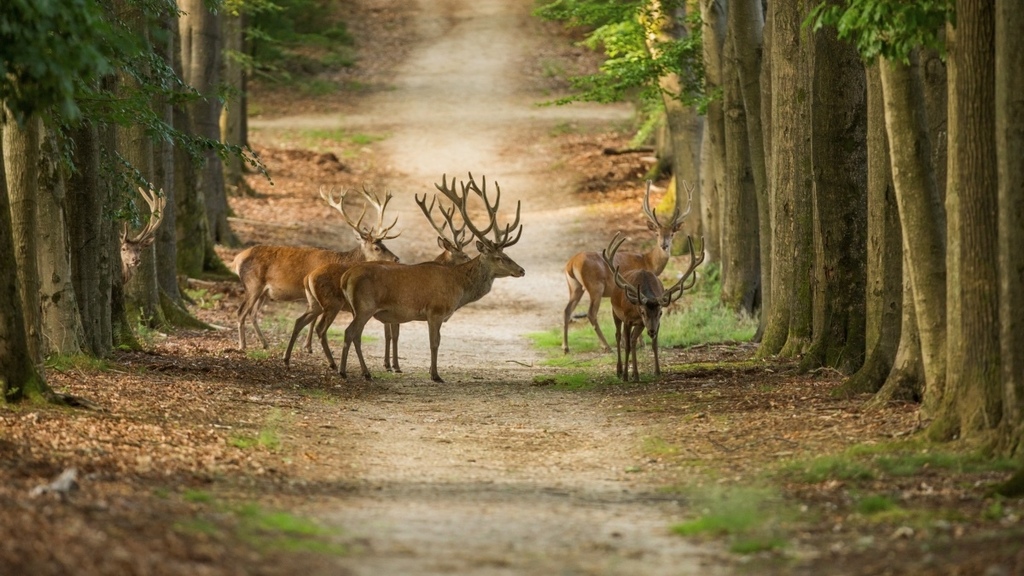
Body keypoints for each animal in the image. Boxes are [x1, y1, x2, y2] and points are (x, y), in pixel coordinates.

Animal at [232, 186, 401, 350]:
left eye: (384, 244)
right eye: (376, 248)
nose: (396, 258)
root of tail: (237, 259)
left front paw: (308, 345)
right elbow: (314, 320)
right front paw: (308, 346)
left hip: (263, 292)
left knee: (253, 313)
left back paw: (264, 343)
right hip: (252, 284)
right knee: (241, 312)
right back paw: (242, 345)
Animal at [283, 191, 473, 372]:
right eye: (464, 255)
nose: (471, 262)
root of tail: (308, 276)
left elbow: (389, 335)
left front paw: (389, 364)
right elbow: (394, 335)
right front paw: (394, 366)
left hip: (315, 303)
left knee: (299, 321)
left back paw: (288, 359)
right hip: (333, 304)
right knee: (321, 328)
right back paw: (332, 364)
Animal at [338, 173, 524, 383]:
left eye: (507, 254)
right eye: (500, 258)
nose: (521, 270)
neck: (459, 288)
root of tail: (345, 277)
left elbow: (437, 341)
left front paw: (431, 371)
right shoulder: (435, 311)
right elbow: (434, 343)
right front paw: (435, 375)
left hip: (358, 309)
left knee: (355, 334)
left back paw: (361, 371)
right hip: (365, 306)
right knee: (350, 332)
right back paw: (347, 371)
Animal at [562, 180, 692, 354]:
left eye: (672, 234)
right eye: (657, 233)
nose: (664, 245)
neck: (648, 262)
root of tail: (570, 264)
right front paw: (640, 342)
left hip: (575, 286)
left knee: (567, 310)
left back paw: (566, 347)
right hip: (595, 286)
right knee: (591, 313)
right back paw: (606, 345)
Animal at [600, 232, 704, 382]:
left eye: (660, 313)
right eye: (643, 311)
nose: (651, 331)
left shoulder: (651, 323)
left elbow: (654, 344)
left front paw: (657, 371)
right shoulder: (627, 319)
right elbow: (626, 345)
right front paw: (625, 376)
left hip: (640, 325)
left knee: (633, 339)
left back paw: (636, 374)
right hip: (615, 313)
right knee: (619, 337)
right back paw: (620, 371)